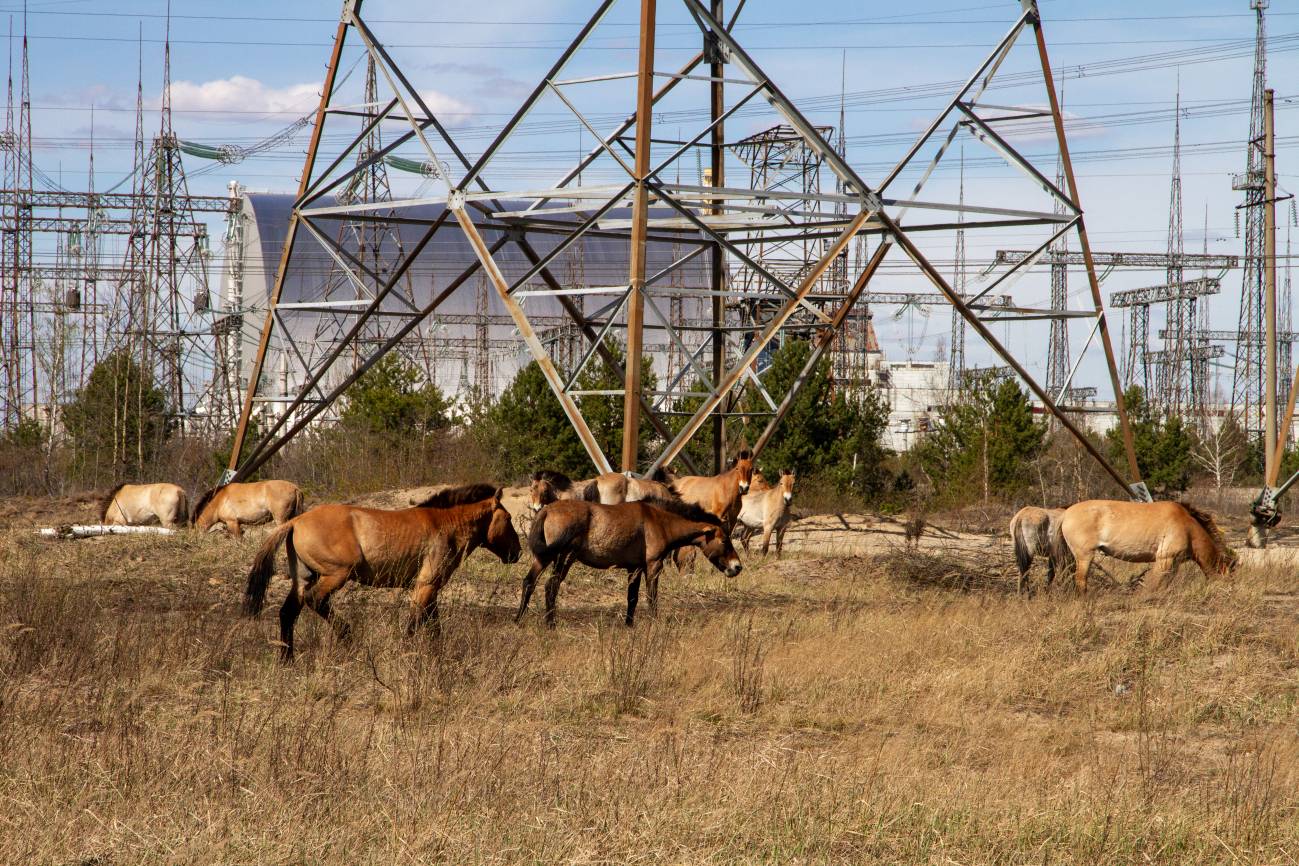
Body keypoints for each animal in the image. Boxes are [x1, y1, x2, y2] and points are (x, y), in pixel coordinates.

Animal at [243, 483, 521, 660]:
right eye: (508, 519)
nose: (516, 552)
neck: (445, 523)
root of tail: (295, 521)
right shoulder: (425, 584)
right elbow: (415, 623)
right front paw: (405, 652)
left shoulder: (431, 588)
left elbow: (434, 626)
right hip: (336, 575)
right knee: (316, 600)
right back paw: (347, 636)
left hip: (302, 579)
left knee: (287, 613)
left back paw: (287, 659)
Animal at [516, 496, 742, 628]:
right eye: (724, 540)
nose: (737, 567)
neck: (658, 519)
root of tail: (547, 510)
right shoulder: (653, 565)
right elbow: (652, 597)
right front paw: (653, 623)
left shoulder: (634, 568)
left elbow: (632, 598)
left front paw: (629, 625)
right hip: (564, 557)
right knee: (550, 585)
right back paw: (550, 624)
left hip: (544, 558)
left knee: (529, 582)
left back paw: (519, 619)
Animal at [1050, 499, 1237, 594]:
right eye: (1229, 581)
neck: (1188, 526)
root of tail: (1066, 513)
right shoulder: (1164, 559)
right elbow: (1154, 585)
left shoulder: (1173, 563)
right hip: (1085, 556)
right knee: (1081, 581)